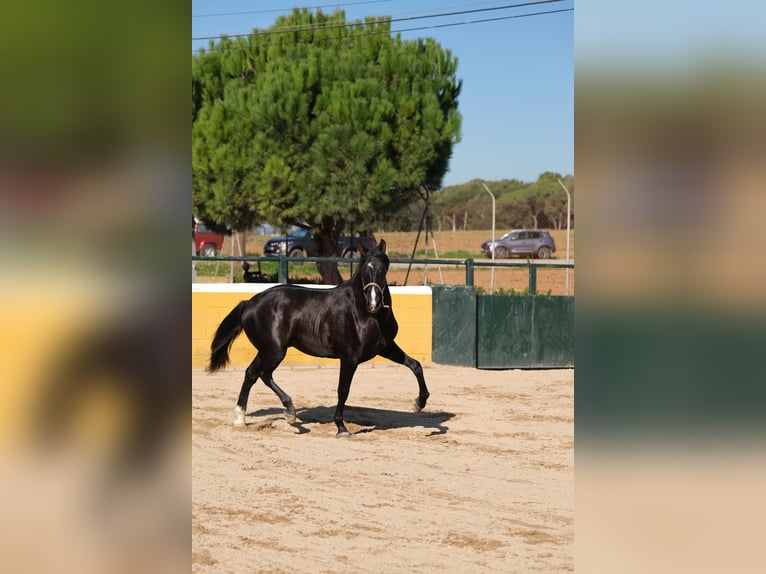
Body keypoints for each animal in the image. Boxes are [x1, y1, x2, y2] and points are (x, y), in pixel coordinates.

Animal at [207, 241, 428, 438]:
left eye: (384, 269)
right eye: (365, 270)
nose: (374, 303)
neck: (363, 313)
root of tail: (250, 303)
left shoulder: (385, 347)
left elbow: (415, 365)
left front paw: (418, 404)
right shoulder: (349, 357)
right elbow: (343, 390)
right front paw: (341, 428)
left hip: (266, 350)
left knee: (251, 374)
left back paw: (242, 418)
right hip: (275, 351)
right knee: (263, 374)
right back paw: (290, 413)